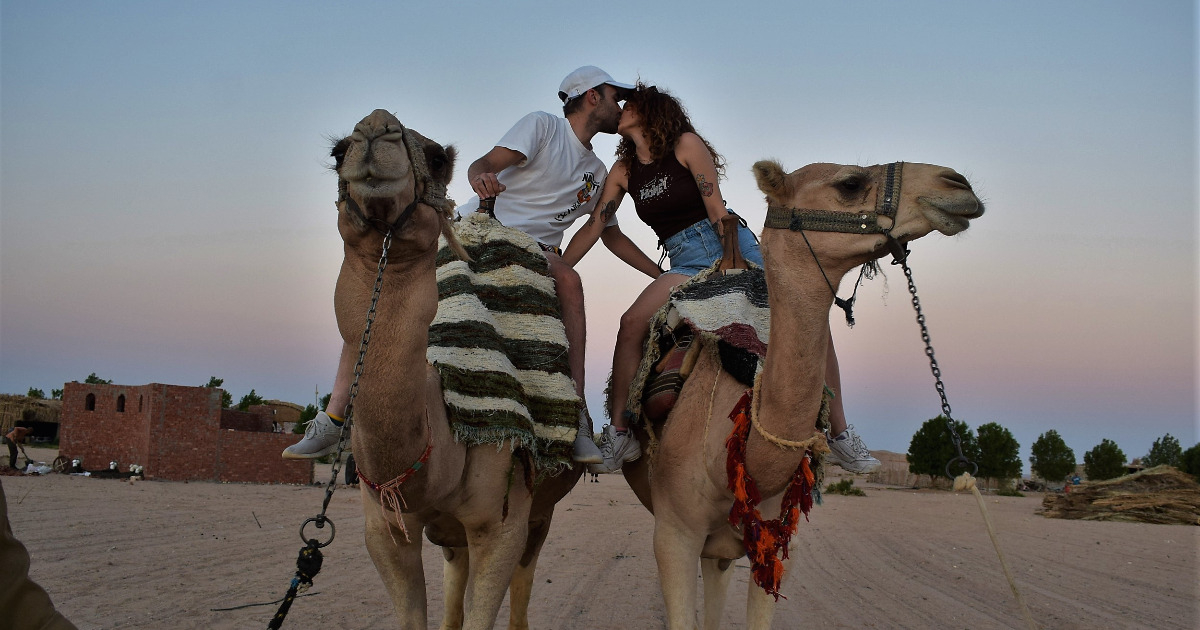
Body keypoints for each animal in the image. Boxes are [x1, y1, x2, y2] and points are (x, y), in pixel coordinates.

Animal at [331, 108, 583, 628]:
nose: (375, 128)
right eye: (337, 151)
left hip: (540, 511)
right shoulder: (384, 529)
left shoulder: (502, 524)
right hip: (452, 537)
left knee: (523, 583)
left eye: (437, 158)